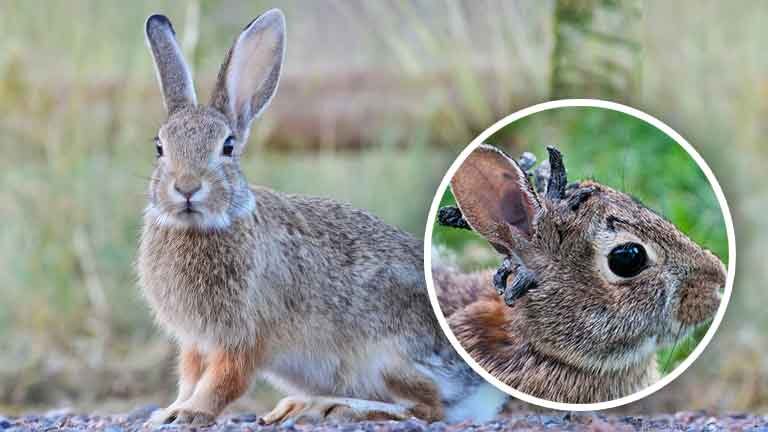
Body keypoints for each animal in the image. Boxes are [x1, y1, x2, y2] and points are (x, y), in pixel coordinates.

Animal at [137, 9, 508, 426]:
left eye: (227, 147)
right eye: (159, 147)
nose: (186, 187)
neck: (206, 224)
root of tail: (479, 388)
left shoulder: (244, 339)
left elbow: (223, 382)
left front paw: (190, 412)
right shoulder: (195, 342)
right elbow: (189, 376)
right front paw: (169, 411)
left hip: (386, 357)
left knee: (428, 407)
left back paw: (329, 406)